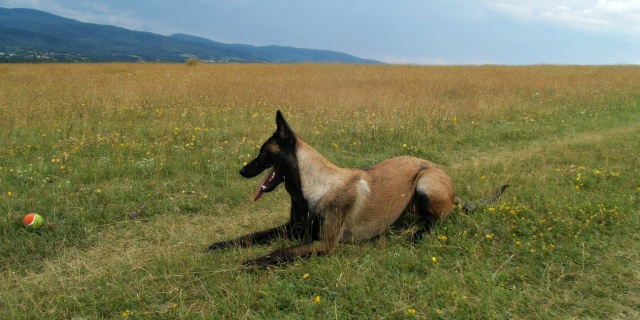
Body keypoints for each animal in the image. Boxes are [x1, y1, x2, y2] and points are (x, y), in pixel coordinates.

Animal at [208, 111, 508, 266]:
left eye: (262, 153)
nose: (242, 171)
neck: (312, 189)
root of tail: (453, 191)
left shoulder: (325, 244)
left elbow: (280, 252)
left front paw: (252, 262)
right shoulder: (293, 230)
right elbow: (252, 235)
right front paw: (221, 244)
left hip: (425, 182)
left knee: (437, 222)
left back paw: (416, 236)